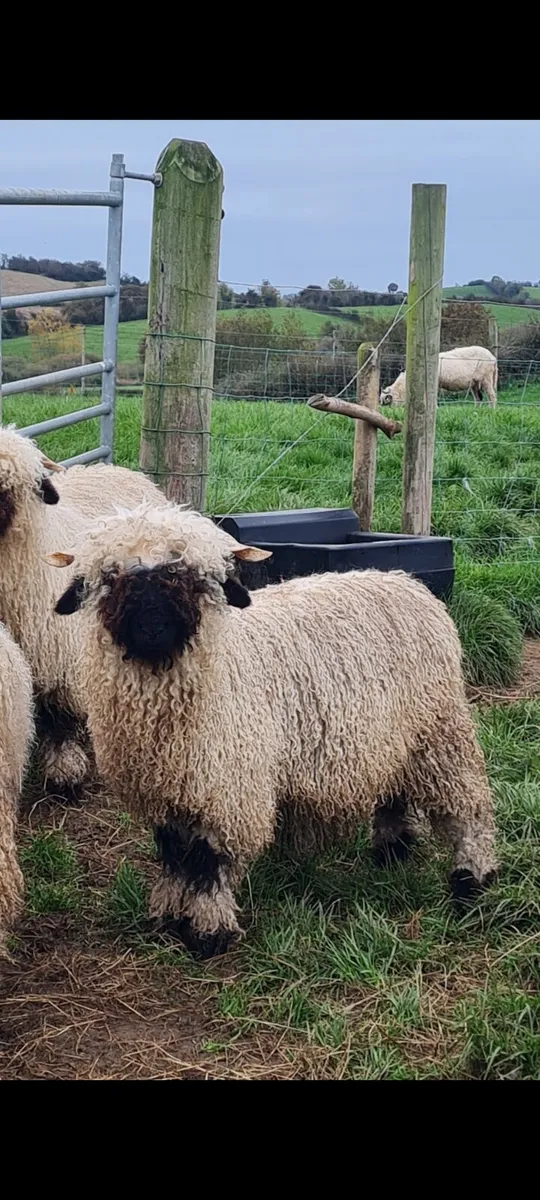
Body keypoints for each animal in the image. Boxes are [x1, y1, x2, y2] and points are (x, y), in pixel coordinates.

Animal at [47, 501, 498, 959]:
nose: (152, 627)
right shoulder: (169, 790)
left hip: (440, 731)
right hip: (392, 738)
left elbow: (207, 862)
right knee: (393, 790)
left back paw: (470, 878)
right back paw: (392, 850)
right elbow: (174, 855)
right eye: (111, 577)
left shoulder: (227, 789)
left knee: (468, 807)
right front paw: (168, 915)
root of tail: (406, 581)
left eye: (185, 574)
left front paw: (208, 930)